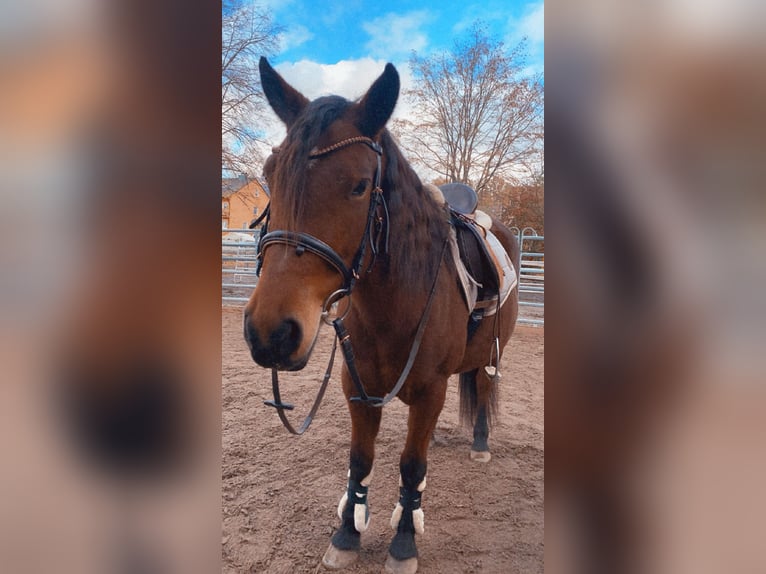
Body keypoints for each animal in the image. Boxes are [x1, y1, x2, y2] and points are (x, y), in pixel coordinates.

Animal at [246, 58, 520, 574]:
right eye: (271, 175)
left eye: (359, 185)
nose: (271, 332)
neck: (395, 304)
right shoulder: (357, 387)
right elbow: (360, 460)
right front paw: (348, 531)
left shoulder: (430, 391)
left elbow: (411, 467)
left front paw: (404, 540)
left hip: (494, 352)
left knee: (483, 384)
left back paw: (479, 444)